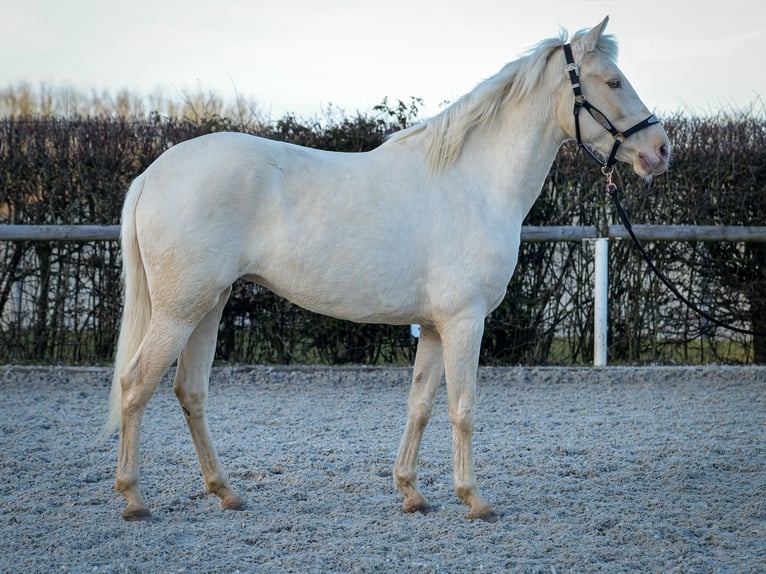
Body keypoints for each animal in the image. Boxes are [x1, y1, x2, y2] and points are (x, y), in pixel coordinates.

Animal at [103, 16, 672, 520]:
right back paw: (133, 499)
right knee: (136, 384)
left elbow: (420, 405)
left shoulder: (437, 327)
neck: (474, 182)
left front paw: (412, 493)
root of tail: (151, 174)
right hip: (181, 309)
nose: (661, 149)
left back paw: (226, 492)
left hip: (208, 305)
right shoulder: (465, 321)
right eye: (613, 81)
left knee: (189, 391)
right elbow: (463, 407)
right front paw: (474, 499)